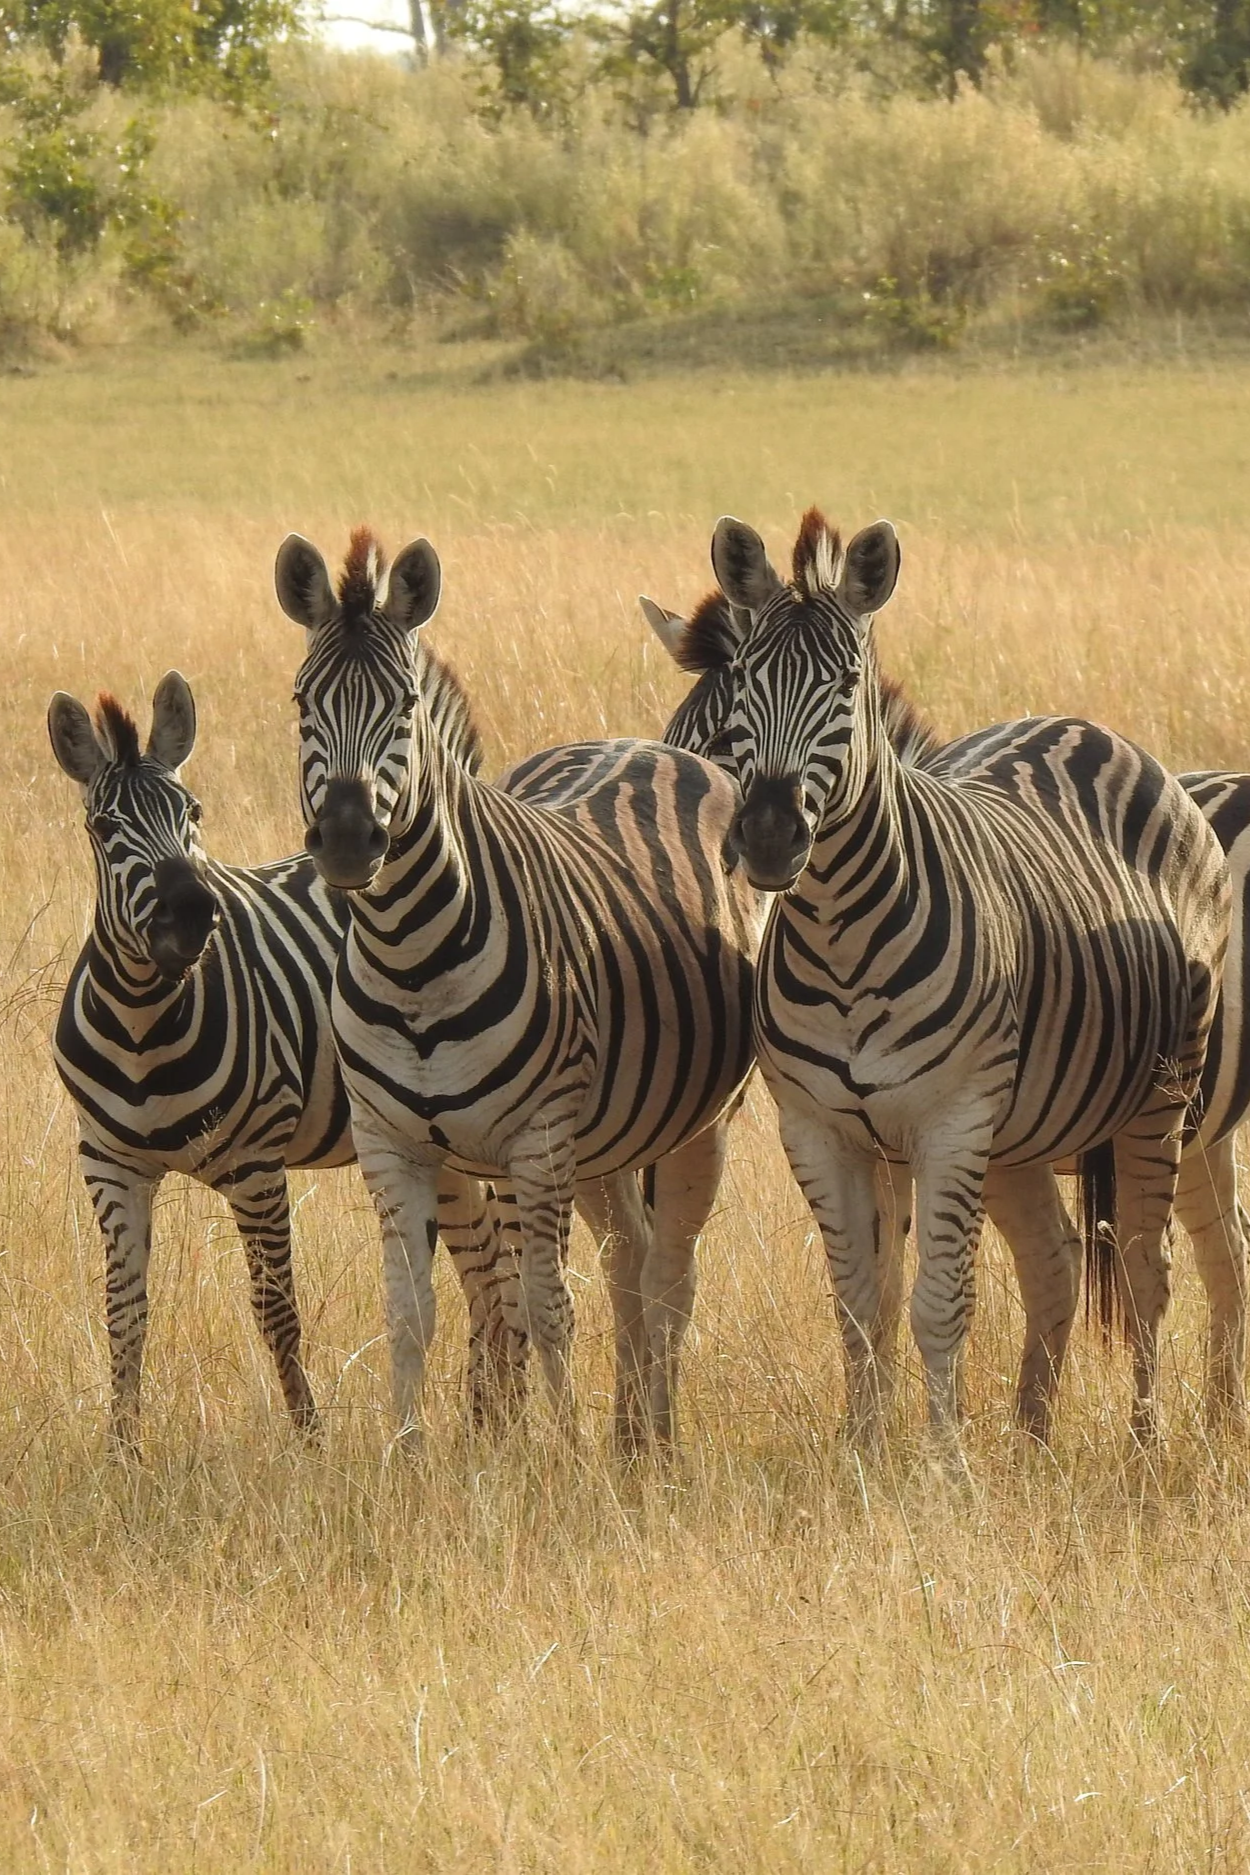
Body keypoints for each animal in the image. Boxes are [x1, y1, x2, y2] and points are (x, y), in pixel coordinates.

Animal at [49, 671, 518, 1453]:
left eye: (194, 813)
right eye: (103, 830)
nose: (191, 912)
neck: (144, 1024)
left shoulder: (256, 1165)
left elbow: (276, 1310)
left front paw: (308, 1440)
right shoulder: (109, 1164)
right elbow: (124, 1310)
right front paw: (121, 1450)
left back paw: (495, 1415)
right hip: (434, 1139)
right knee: (482, 1257)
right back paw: (484, 1418)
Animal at [273, 526, 759, 1449]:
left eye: (404, 708)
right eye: (301, 701)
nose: (350, 839)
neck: (412, 958)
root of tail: (650, 744)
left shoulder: (537, 1140)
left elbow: (546, 1305)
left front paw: (561, 1453)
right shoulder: (392, 1142)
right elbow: (409, 1311)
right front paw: (406, 1454)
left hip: (694, 1121)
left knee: (672, 1271)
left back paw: (657, 1437)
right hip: (604, 1134)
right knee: (630, 1253)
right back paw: (629, 1437)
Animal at [642, 584, 1250, 1439]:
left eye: (718, 741)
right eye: (676, 741)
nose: (744, 846)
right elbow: (883, 1286)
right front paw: (878, 1432)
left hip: (1165, 1102)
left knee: (1155, 1265)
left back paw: (1150, 1436)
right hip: (1152, 1130)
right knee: (1168, 1253)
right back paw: (1102, 1429)